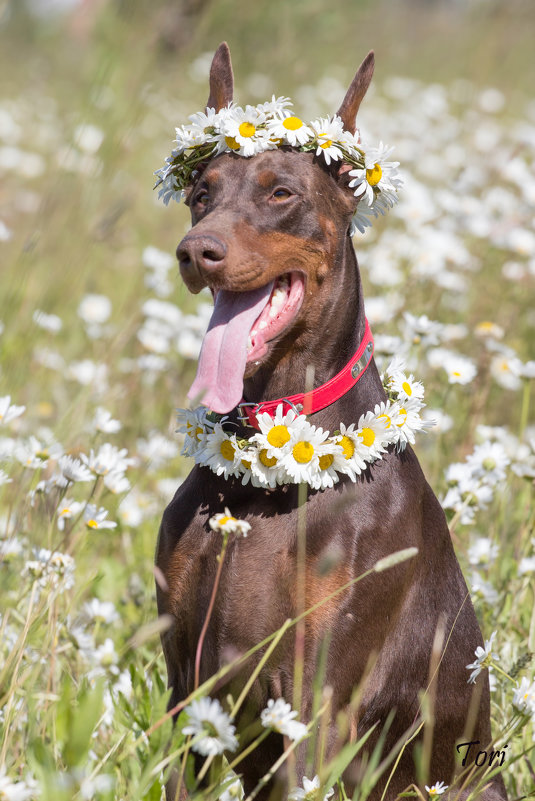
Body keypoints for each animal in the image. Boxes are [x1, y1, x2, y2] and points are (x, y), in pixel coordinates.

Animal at [157, 42, 508, 800]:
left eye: (281, 193)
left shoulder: (314, 702)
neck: (263, 471)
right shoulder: (184, 689)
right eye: (201, 192)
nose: (195, 250)